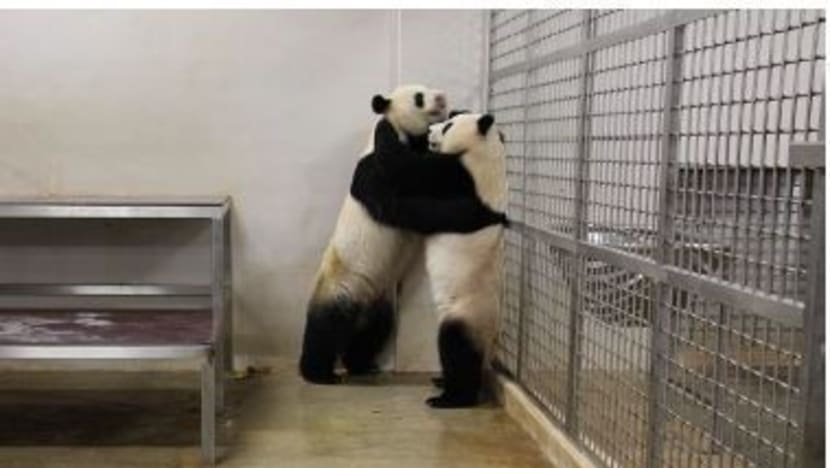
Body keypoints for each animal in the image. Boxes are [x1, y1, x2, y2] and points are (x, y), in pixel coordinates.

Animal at [300, 85, 507, 385]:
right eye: (419, 97)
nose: (442, 97)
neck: (404, 135)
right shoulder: (373, 169)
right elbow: (393, 197)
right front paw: (383, 127)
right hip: (343, 280)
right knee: (327, 324)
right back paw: (318, 372)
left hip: (380, 295)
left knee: (375, 329)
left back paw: (361, 364)